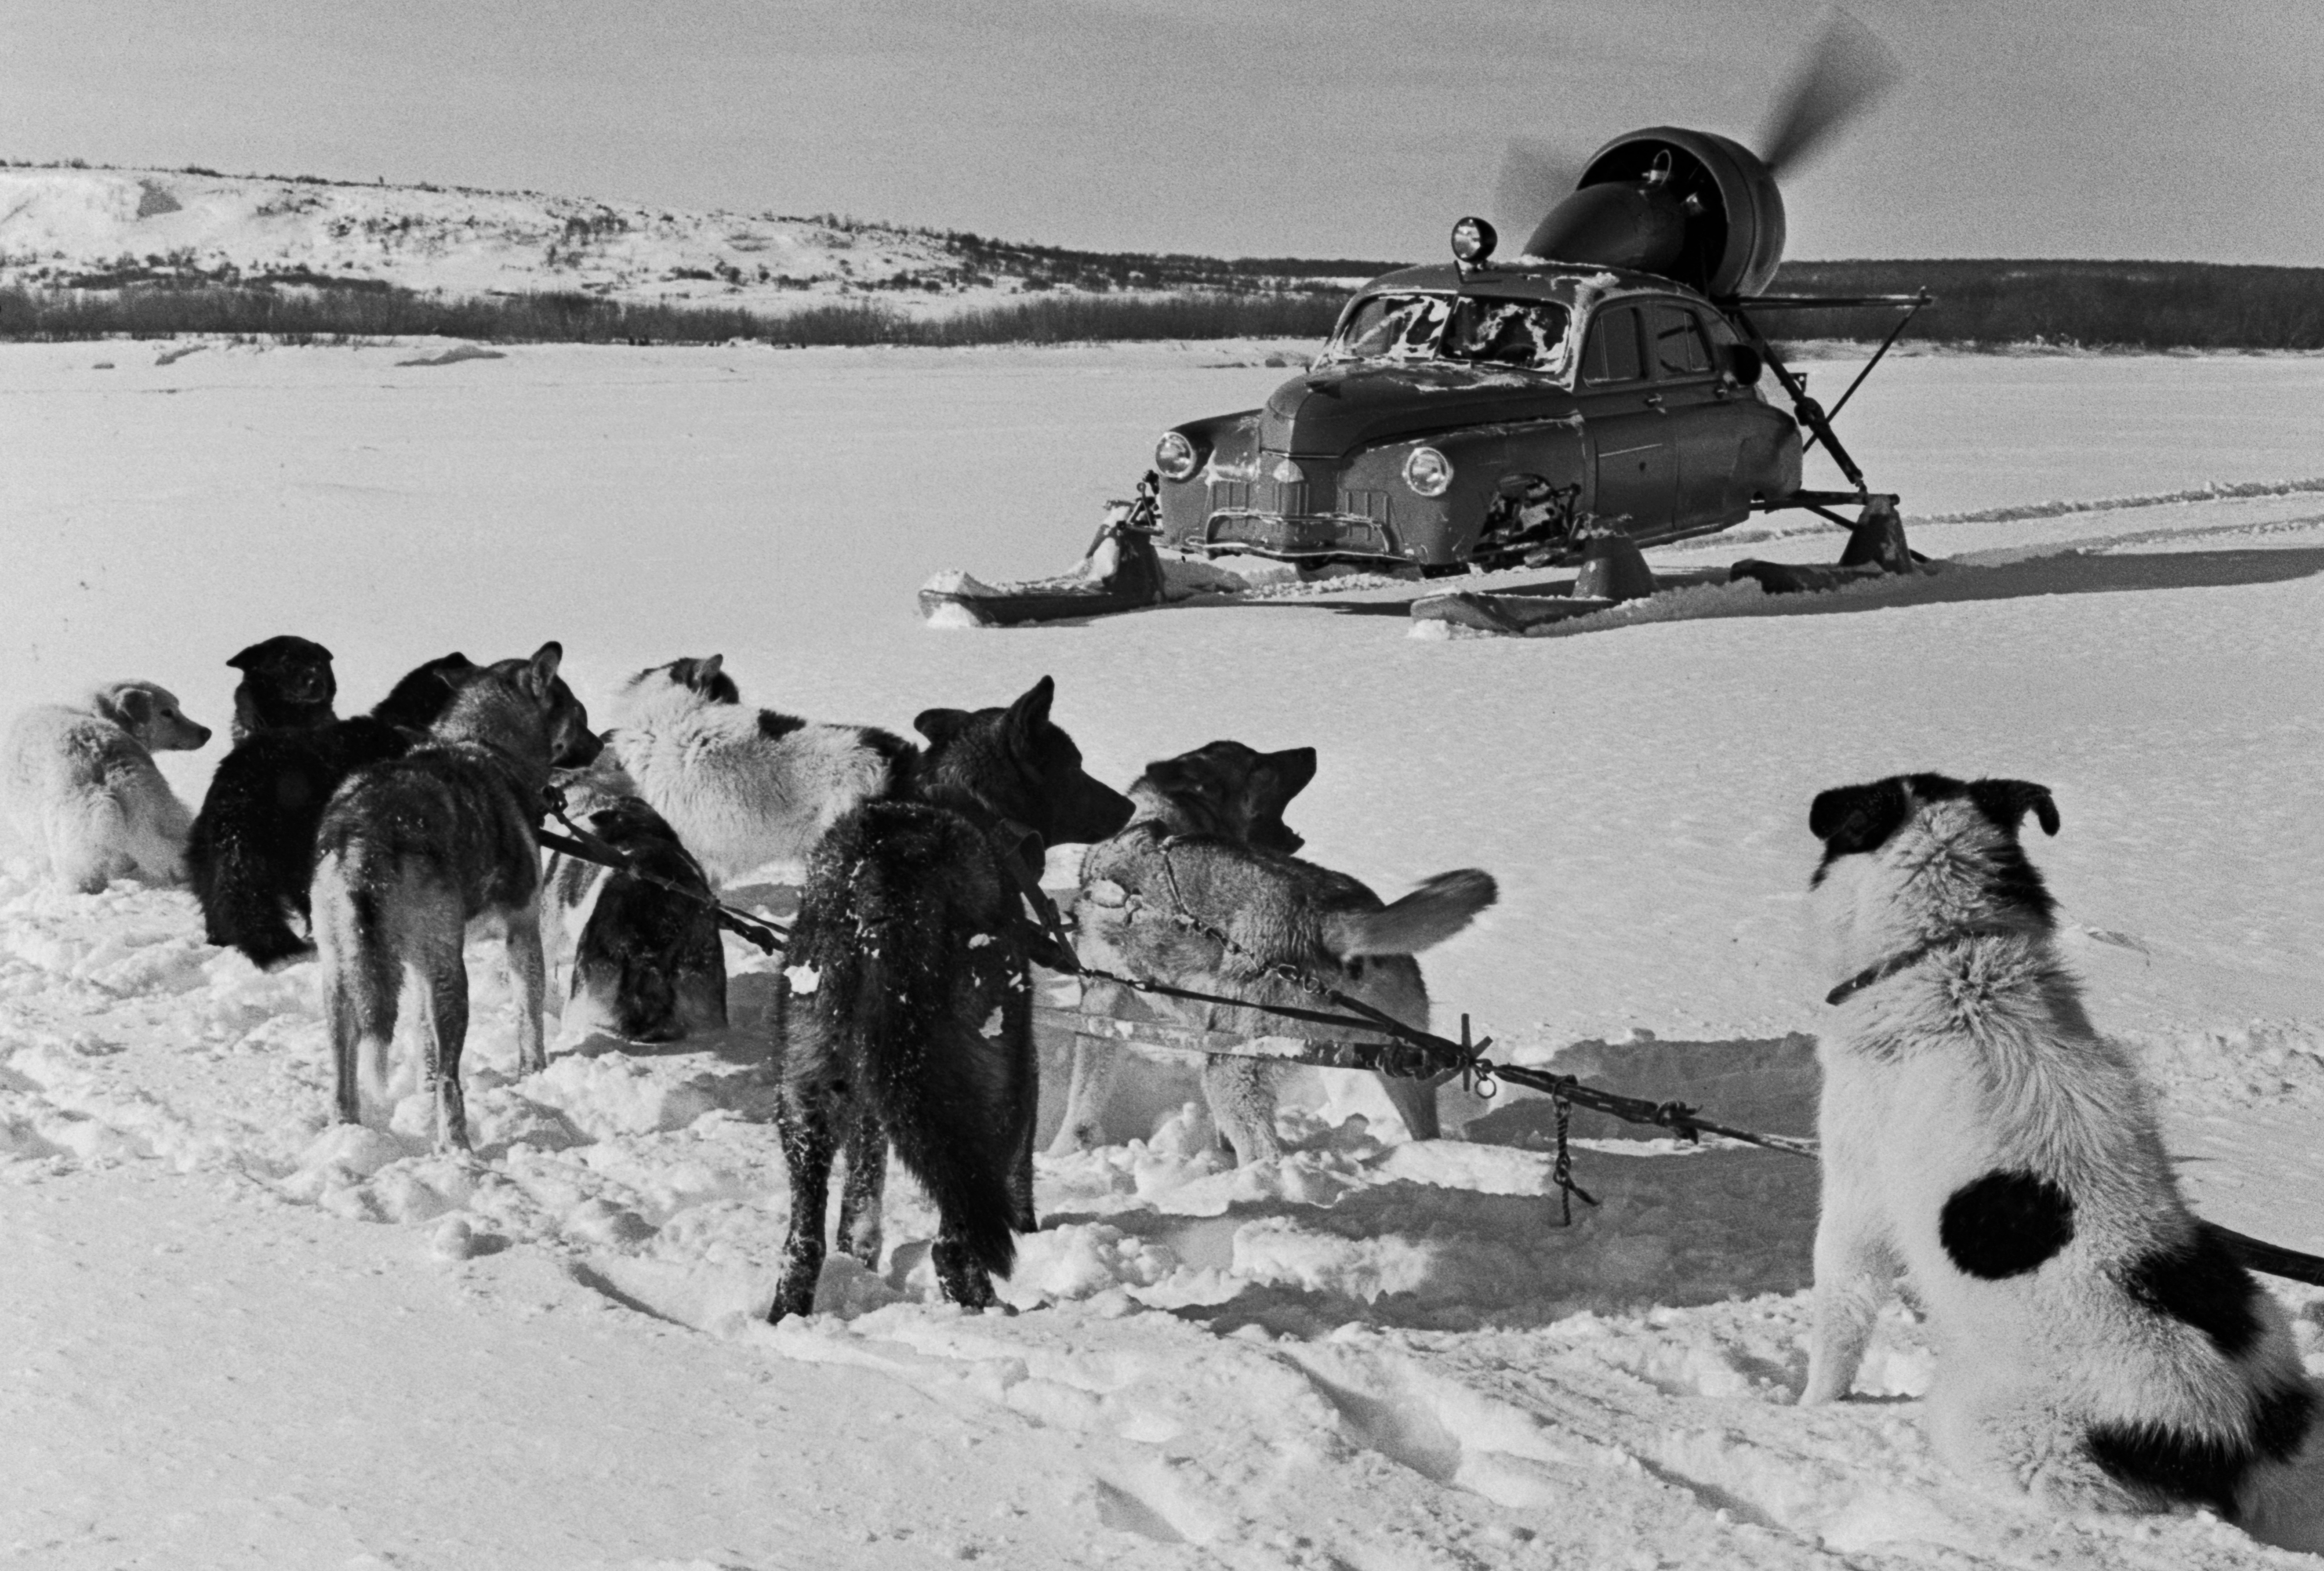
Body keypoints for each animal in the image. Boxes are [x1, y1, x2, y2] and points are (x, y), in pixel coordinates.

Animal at [767, 674, 1129, 1329]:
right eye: (1075, 765)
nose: (1128, 807)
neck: (963, 803)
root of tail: (878, 894)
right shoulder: (1023, 1071)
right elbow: (1018, 1185)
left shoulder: (867, 1098)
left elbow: (859, 1201)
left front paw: (860, 1251)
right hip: (989, 1085)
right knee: (953, 1241)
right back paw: (993, 1314)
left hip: (807, 1092)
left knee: (802, 1243)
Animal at [1794, 772, 2324, 1543]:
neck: (1952, 962)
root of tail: (2232, 1432)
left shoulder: (1855, 1207)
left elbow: (1839, 1323)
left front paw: (1805, 1410)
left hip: (1986, 1426)